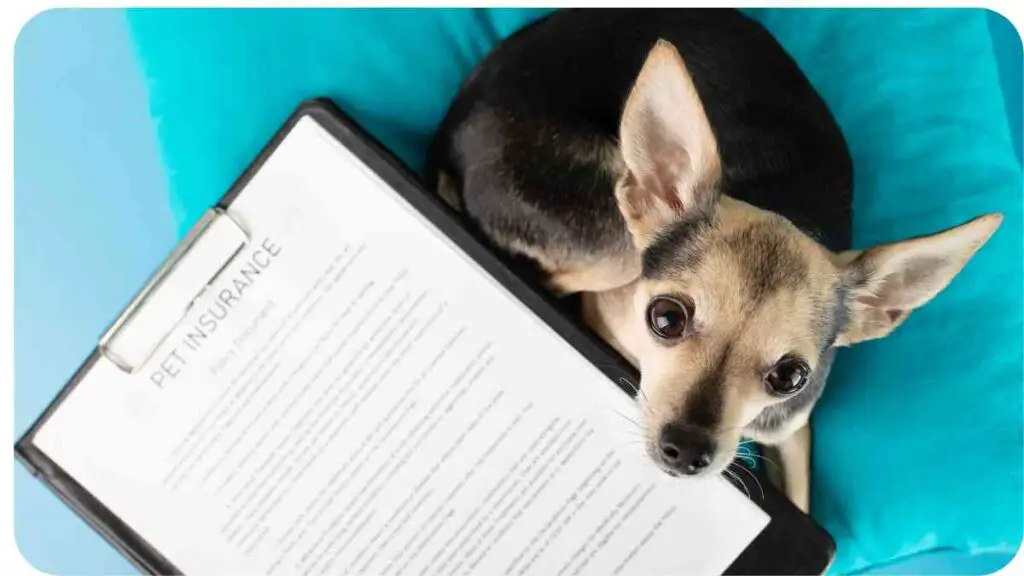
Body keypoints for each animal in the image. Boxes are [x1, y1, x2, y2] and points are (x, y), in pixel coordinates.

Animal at [423, 7, 999, 510]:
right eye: (665, 319)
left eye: (791, 377)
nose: (687, 451)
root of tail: (455, 121)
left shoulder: (793, 432)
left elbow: (805, 507)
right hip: (614, 246)